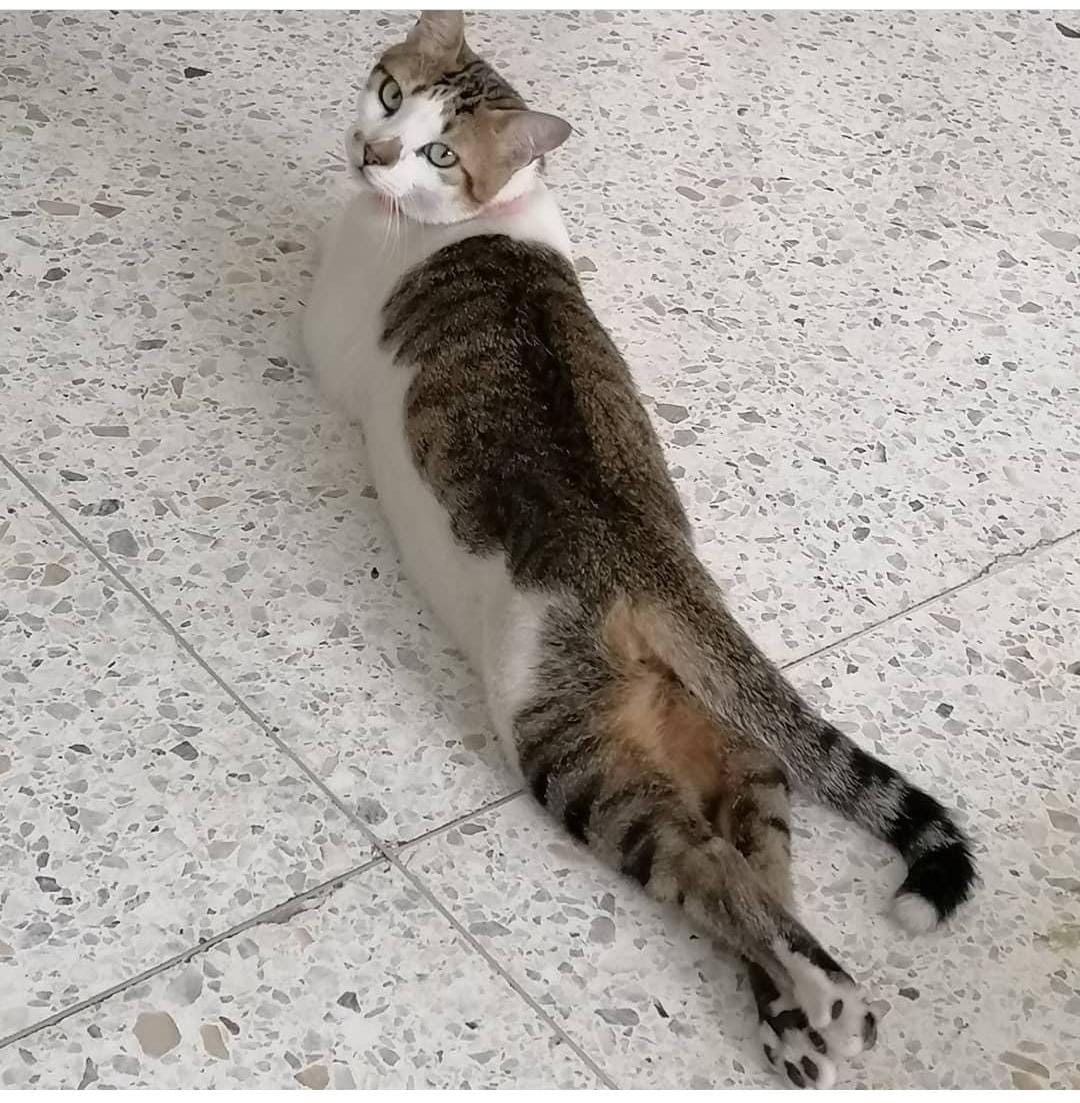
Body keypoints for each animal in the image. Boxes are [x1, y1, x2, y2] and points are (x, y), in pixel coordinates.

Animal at [302, 11, 976, 1089]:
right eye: (391, 93)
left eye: (440, 154)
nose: (373, 151)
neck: (488, 215)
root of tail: (659, 563)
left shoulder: (326, 337)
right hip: (724, 736)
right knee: (754, 844)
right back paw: (797, 1023)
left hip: (570, 742)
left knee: (707, 866)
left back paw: (825, 994)